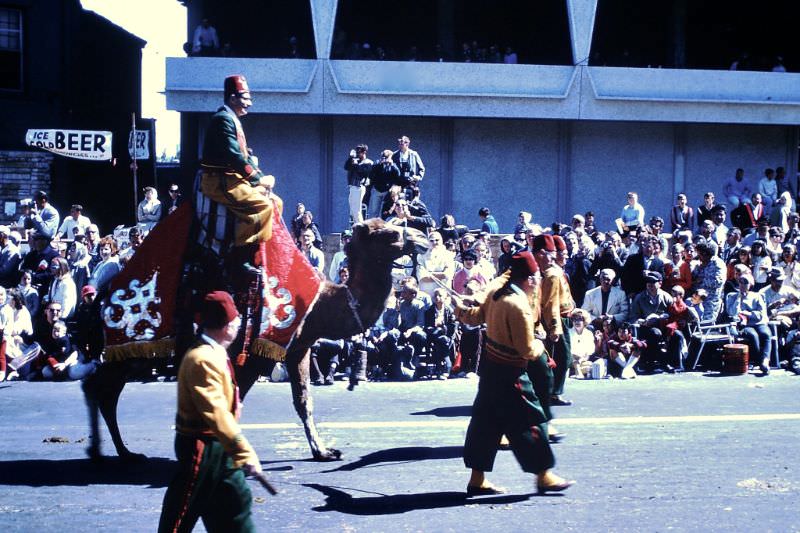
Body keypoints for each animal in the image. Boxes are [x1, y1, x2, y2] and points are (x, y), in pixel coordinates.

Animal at [83, 216, 428, 462]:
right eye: (388, 234)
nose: (422, 238)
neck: (320, 304)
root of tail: (98, 292)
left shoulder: (297, 349)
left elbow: (303, 400)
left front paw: (324, 452)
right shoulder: (254, 355)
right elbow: (235, 402)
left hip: (133, 354)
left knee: (102, 389)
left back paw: (110, 451)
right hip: (129, 346)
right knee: (101, 388)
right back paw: (115, 451)